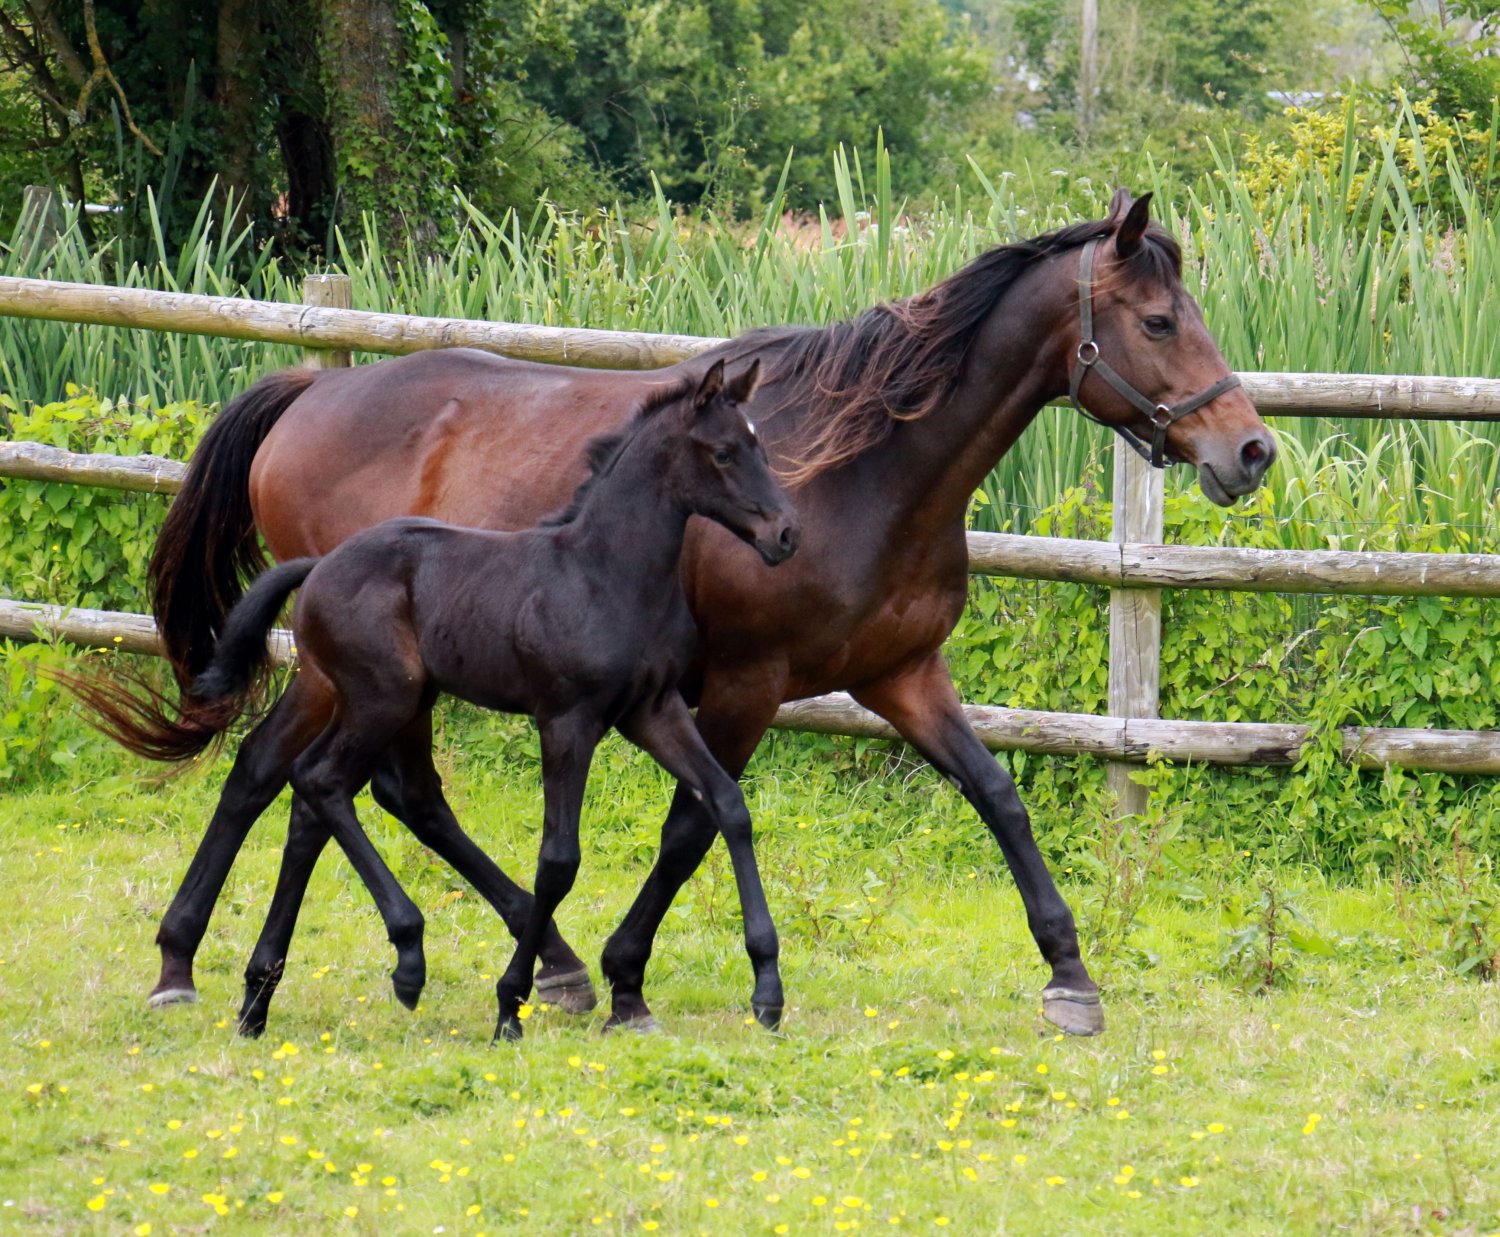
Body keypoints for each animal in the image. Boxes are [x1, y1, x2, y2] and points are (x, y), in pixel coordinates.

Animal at [73, 359, 799, 1039]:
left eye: (761, 444)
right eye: (724, 452)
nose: (785, 535)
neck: (604, 573)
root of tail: (318, 566)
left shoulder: (654, 710)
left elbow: (726, 805)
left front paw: (767, 989)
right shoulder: (567, 720)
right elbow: (558, 861)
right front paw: (511, 1003)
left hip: (378, 701)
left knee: (310, 792)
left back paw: (258, 996)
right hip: (382, 699)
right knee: (323, 781)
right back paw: (405, 957)